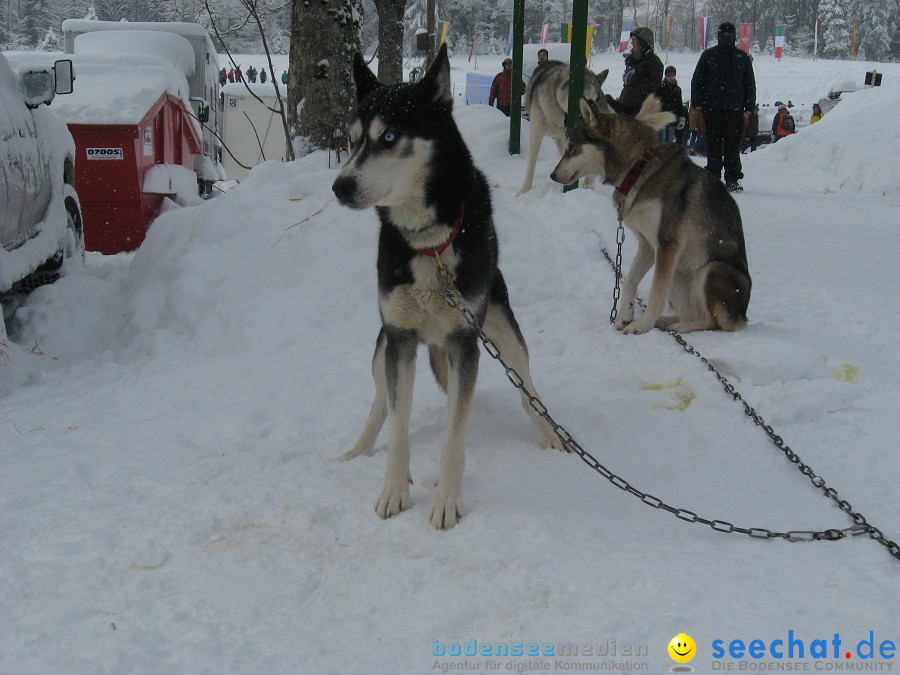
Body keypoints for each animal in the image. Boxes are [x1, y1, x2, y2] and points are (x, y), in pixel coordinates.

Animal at [332, 45, 564, 532]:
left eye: (389, 136)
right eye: (353, 138)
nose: (339, 186)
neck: (429, 244)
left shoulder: (464, 344)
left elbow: (454, 437)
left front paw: (446, 500)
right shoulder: (399, 339)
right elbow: (398, 426)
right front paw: (394, 489)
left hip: (503, 330)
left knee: (527, 387)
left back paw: (550, 432)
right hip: (382, 346)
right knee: (380, 402)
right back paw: (359, 449)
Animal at [516, 60, 608, 195]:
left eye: (597, 99)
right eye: (581, 98)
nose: (592, 117)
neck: (559, 117)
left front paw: (587, 186)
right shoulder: (536, 136)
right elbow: (530, 169)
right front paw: (523, 192)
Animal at [548, 96, 752, 334]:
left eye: (571, 148)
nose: (552, 175)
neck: (637, 168)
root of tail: (742, 315)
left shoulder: (667, 245)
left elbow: (656, 292)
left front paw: (643, 325)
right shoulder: (647, 245)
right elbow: (629, 280)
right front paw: (625, 316)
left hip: (711, 269)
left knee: (713, 321)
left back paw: (680, 326)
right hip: (679, 275)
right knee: (694, 312)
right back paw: (665, 321)